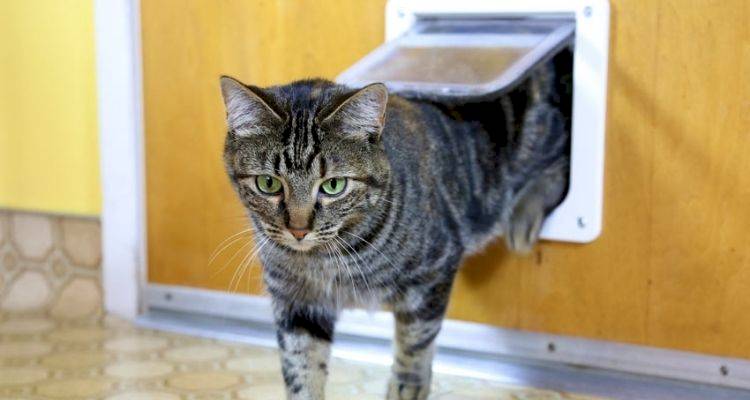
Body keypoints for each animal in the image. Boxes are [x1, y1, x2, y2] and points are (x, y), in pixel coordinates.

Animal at [220, 54, 572, 400]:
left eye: (333, 185)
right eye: (268, 183)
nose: (298, 229)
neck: (324, 258)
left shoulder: (433, 273)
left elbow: (416, 340)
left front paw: (408, 384)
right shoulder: (297, 303)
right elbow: (301, 368)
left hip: (538, 132)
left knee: (561, 160)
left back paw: (524, 216)